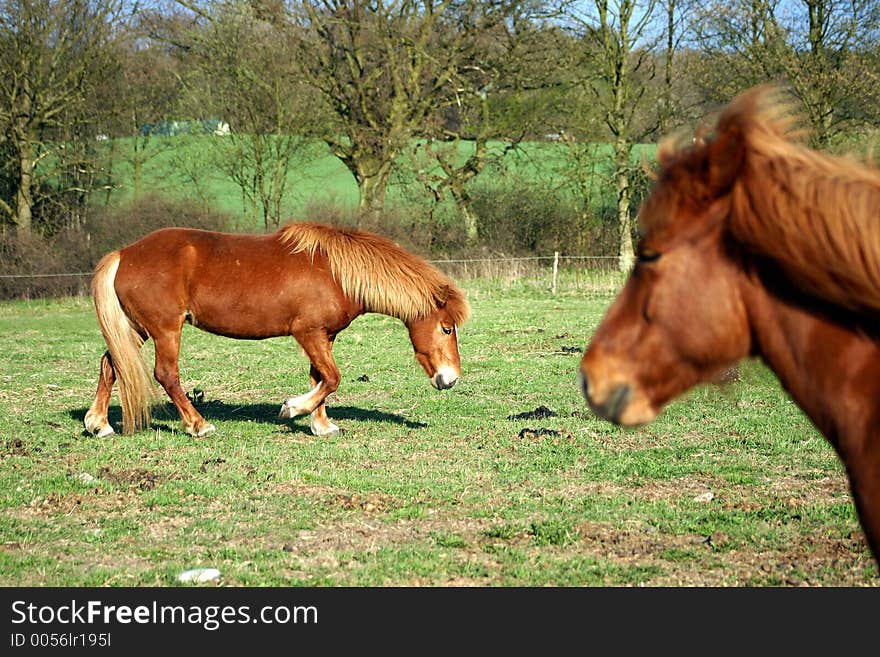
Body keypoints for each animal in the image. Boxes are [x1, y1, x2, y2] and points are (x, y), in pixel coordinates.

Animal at [84, 223, 468, 438]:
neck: (335, 272)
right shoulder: (308, 332)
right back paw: (198, 425)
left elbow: (320, 378)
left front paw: (322, 425)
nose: (450, 379)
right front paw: (293, 409)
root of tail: (125, 253)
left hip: (136, 328)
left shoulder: (323, 336)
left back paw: (99, 424)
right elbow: (331, 378)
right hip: (165, 330)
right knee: (166, 374)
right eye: (447, 328)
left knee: (110, 365)